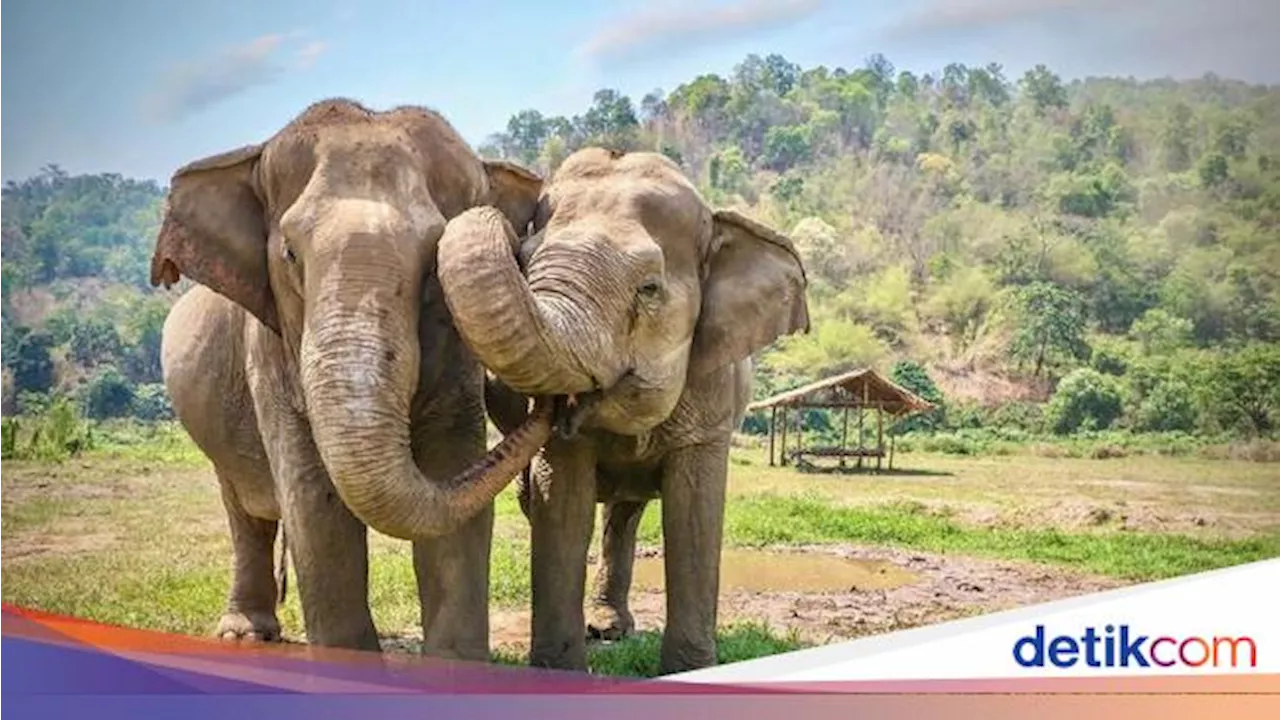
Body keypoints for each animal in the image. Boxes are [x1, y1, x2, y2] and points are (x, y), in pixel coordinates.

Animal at [151, 98, 555, 661]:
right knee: (244, 509)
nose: (551, 406)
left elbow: (454, 472)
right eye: (290, 254)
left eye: (434, 259)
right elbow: (313, 503)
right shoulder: (269, 351)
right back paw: (245, 633)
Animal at [435, 147, 803, 671]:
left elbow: (693, 517)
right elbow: (563, 509)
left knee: (624, 514)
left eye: (648, 289)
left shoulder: (713, 395)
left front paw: (689, 671)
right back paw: (602, 629)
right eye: (524, 263)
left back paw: (610, 627)